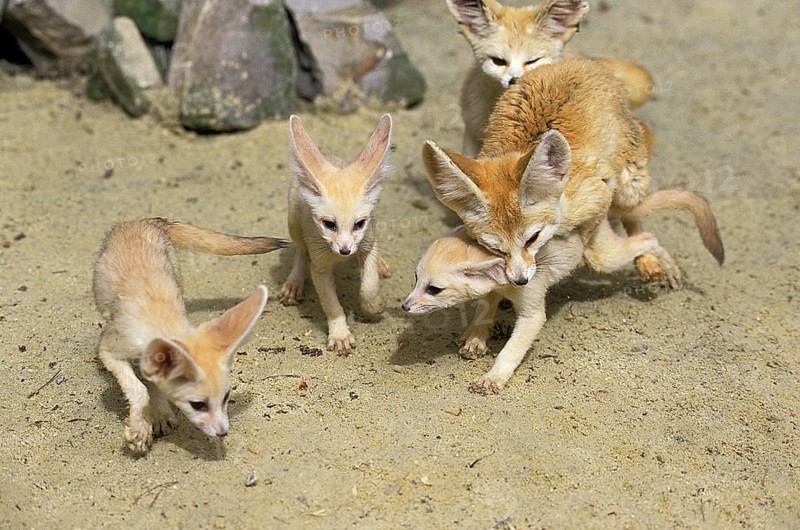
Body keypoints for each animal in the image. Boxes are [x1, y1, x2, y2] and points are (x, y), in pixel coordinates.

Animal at [93, 218, 283, 453]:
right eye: (198, 405)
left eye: (226, 397)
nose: (223, 433)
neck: (162, 321)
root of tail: (140, 221)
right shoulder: (110, 351)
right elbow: (138, 389)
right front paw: (139, 429)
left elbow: (154, 385)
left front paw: (160, 414)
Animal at [280, 114, 393, 355]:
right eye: (329, 224)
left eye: (359, 224)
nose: (345, 251)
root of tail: (330, 157)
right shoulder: (319, 267)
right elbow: (331, 304)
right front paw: (340, 334)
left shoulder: (367, 242)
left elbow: (369, 286)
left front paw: (374, 306)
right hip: (294, 225)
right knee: (300, 252)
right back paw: (294, 282)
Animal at [423, 59, 724, 290]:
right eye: (494, 249)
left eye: (532, 238)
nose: (519, 281)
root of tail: (582, 62)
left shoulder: (598, 196)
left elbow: (596, 253)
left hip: (630, 186)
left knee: (636, 192)